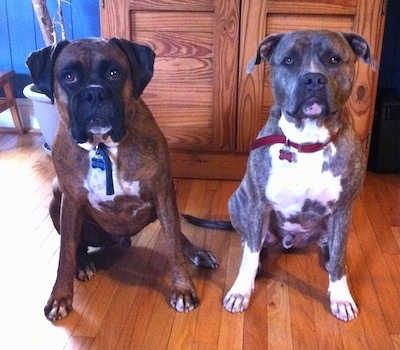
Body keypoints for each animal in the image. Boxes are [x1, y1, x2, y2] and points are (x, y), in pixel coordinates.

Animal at [26, 37, 217, 320]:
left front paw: (183, 288)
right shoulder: (70, 202)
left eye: (114, 73)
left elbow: (173, 245)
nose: (94, 93)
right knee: (77, 245)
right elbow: (65, 252)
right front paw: (60, 296)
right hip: (55, 197)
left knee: (177, 234)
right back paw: (83, 263)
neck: (102, 147)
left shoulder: (162, 193)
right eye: (69, 77)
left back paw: (196, 252)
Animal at [223, 31, 374, 322]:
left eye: (334, 59)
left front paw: (341, 296)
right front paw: (241, 290)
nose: (313, 79)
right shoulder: (258, 205)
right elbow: (249, 256)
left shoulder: (343, 209)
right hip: (237, 200)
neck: (307, 141)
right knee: (251, 241)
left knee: (331, 249)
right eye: (289, 60)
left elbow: (339, 257)